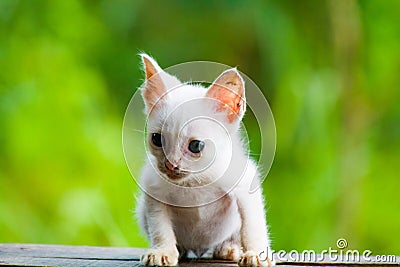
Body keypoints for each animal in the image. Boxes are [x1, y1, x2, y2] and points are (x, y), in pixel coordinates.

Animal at [136, 55, 274, 267]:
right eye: (157, 139)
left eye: (195, 146)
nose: (170, 164)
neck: (195, 182)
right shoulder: (153, 191)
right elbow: (160, 227)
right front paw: (162, 252)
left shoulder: (245, 185)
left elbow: (252, 225)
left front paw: (256, 254)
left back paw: (228, 248)